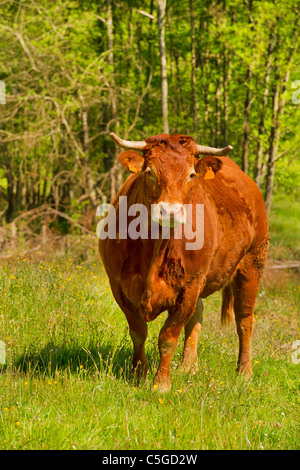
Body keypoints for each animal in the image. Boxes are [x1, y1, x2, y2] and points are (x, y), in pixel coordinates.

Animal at [99, 130, 270, 392]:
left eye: (191, 175)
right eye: (150, 171)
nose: (170, 211)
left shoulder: (189, 287)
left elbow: (168, 337)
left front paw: (161, 383)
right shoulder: (118, 285)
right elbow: (138, 332)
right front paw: (139, 374)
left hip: (252, 264)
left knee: (244, 320)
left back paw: (244, 372)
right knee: (197, 317)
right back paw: (189, 366)